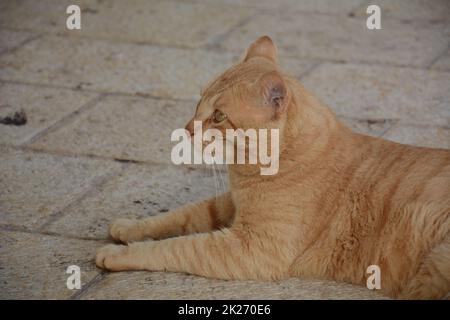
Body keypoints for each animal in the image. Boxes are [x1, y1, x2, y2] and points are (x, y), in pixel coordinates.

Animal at [96, 36, 450, 298]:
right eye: (199, 101)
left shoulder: (251, 247)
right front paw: (129, 227)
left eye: (219, 116)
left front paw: (118, 254)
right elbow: (177, 217)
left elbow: (176, 247)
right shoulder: (228, 205)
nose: (187, 129)